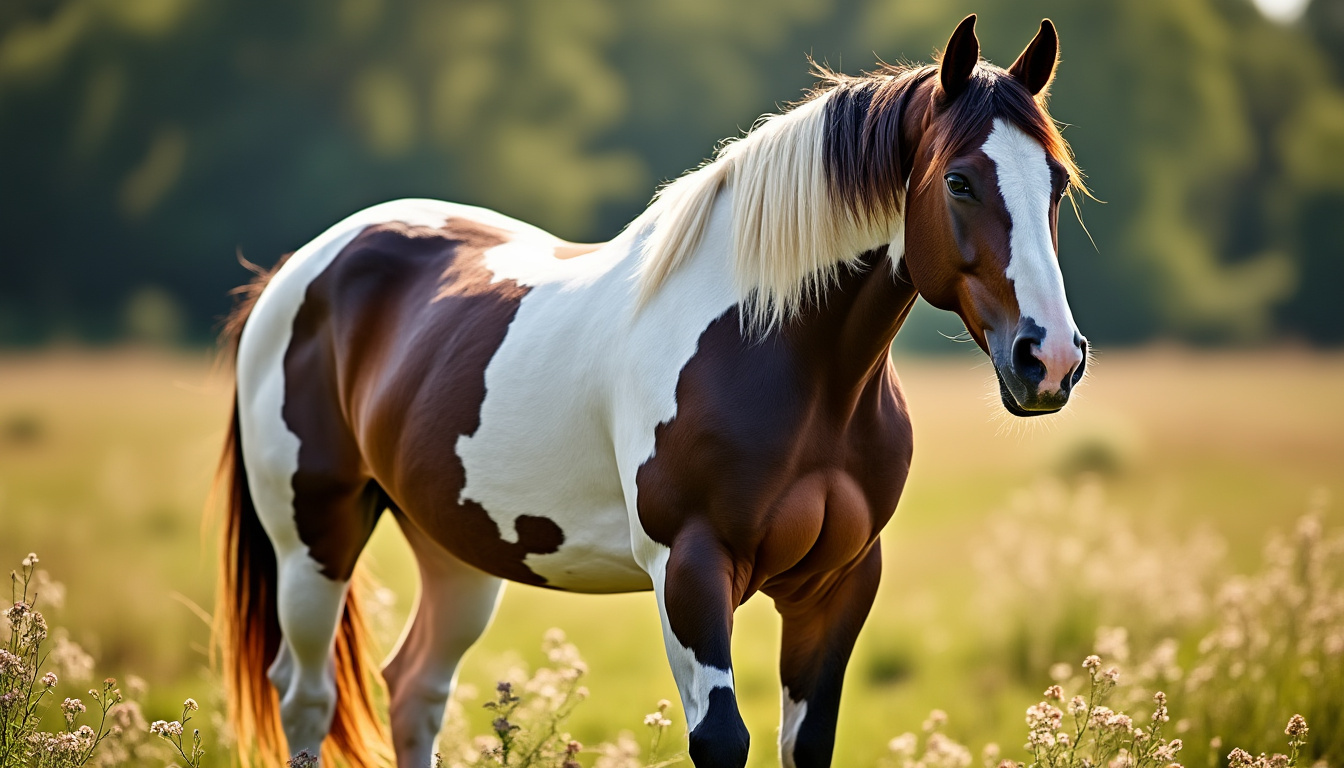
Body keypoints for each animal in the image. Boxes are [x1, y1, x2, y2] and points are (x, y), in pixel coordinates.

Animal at [215, 14, 1088, 768]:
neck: (784, 360)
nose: (1047, 360)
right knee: (307, 698)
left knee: (415, 690)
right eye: (961, 182)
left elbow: (806, 743)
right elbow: (722, 740)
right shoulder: (690, 567)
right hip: (314, 539)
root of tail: (302, 267)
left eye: (1056, 185)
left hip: (454, 546)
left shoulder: (838, 582)